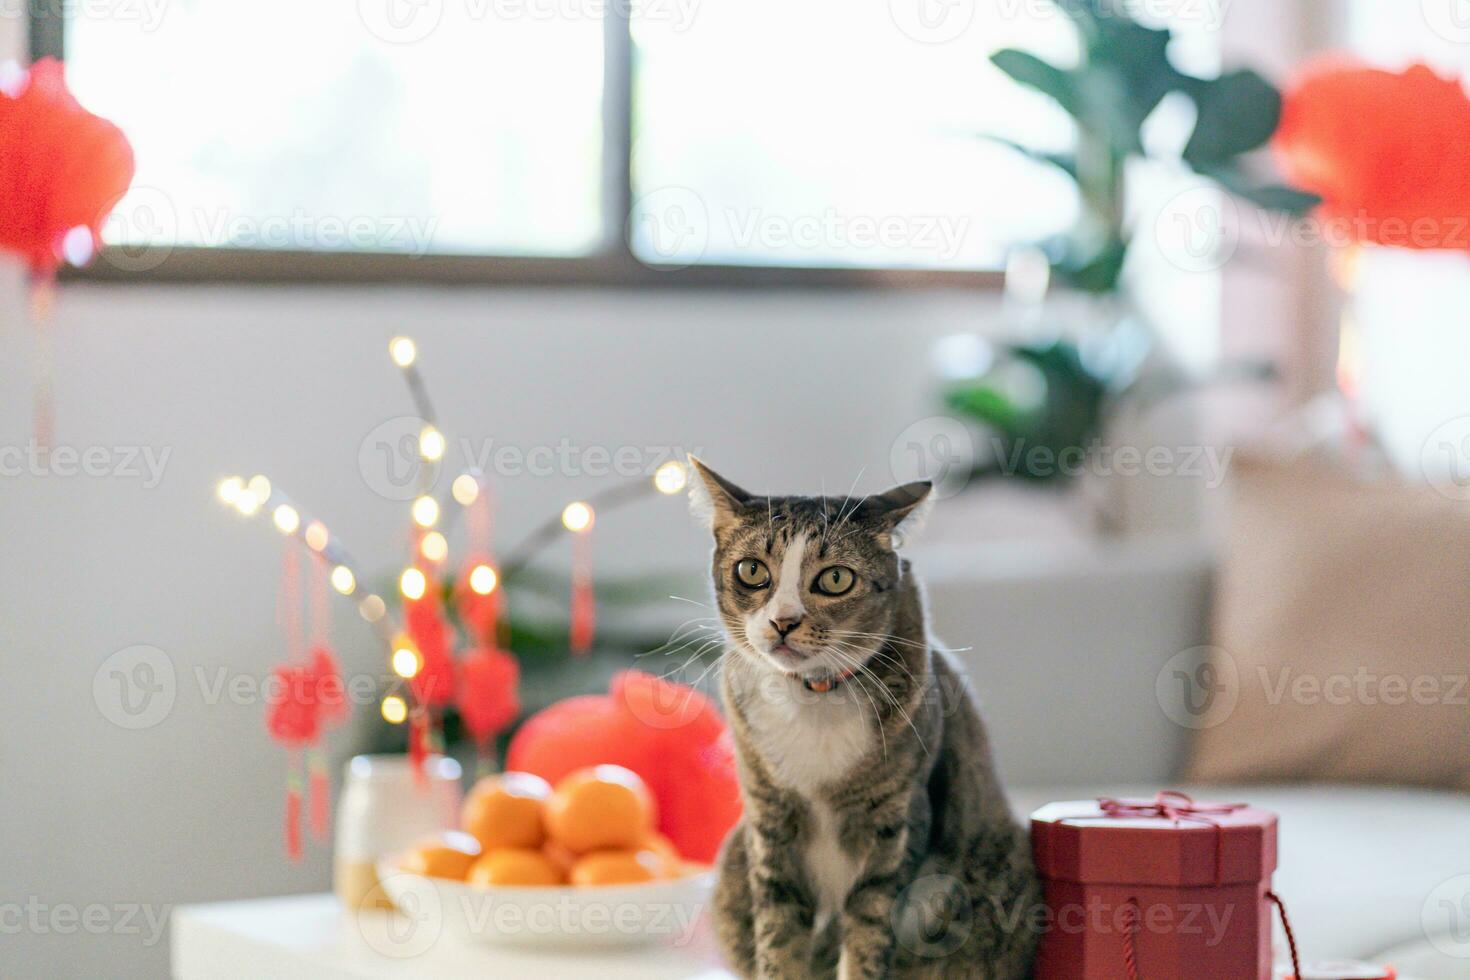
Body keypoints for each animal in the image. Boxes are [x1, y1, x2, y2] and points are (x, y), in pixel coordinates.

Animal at [690, 461, 1046, 980]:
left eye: (836, 578)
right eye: (752, 570)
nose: (783, 621)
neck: (814, 694)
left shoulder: (896, 822)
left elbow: (868, 931)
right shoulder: (768, 820)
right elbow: (778, 933)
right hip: (735, 858)